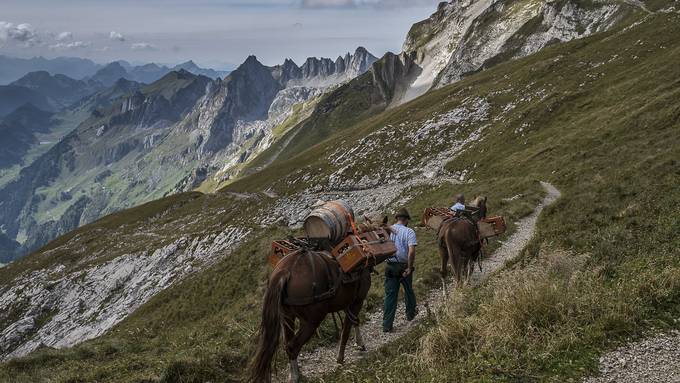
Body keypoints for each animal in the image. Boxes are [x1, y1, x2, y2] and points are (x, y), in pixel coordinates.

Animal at [247, 248, 370, 382]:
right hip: (312, 320)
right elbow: (347, 329)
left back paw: (295, 372)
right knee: (293, 346)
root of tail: (285, 271)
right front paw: (341, 358)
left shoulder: (347, 302)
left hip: (287, 317)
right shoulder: (358, 299)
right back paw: (295, 376)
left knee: (288, 343)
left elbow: (353, 321)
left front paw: (358, 344)